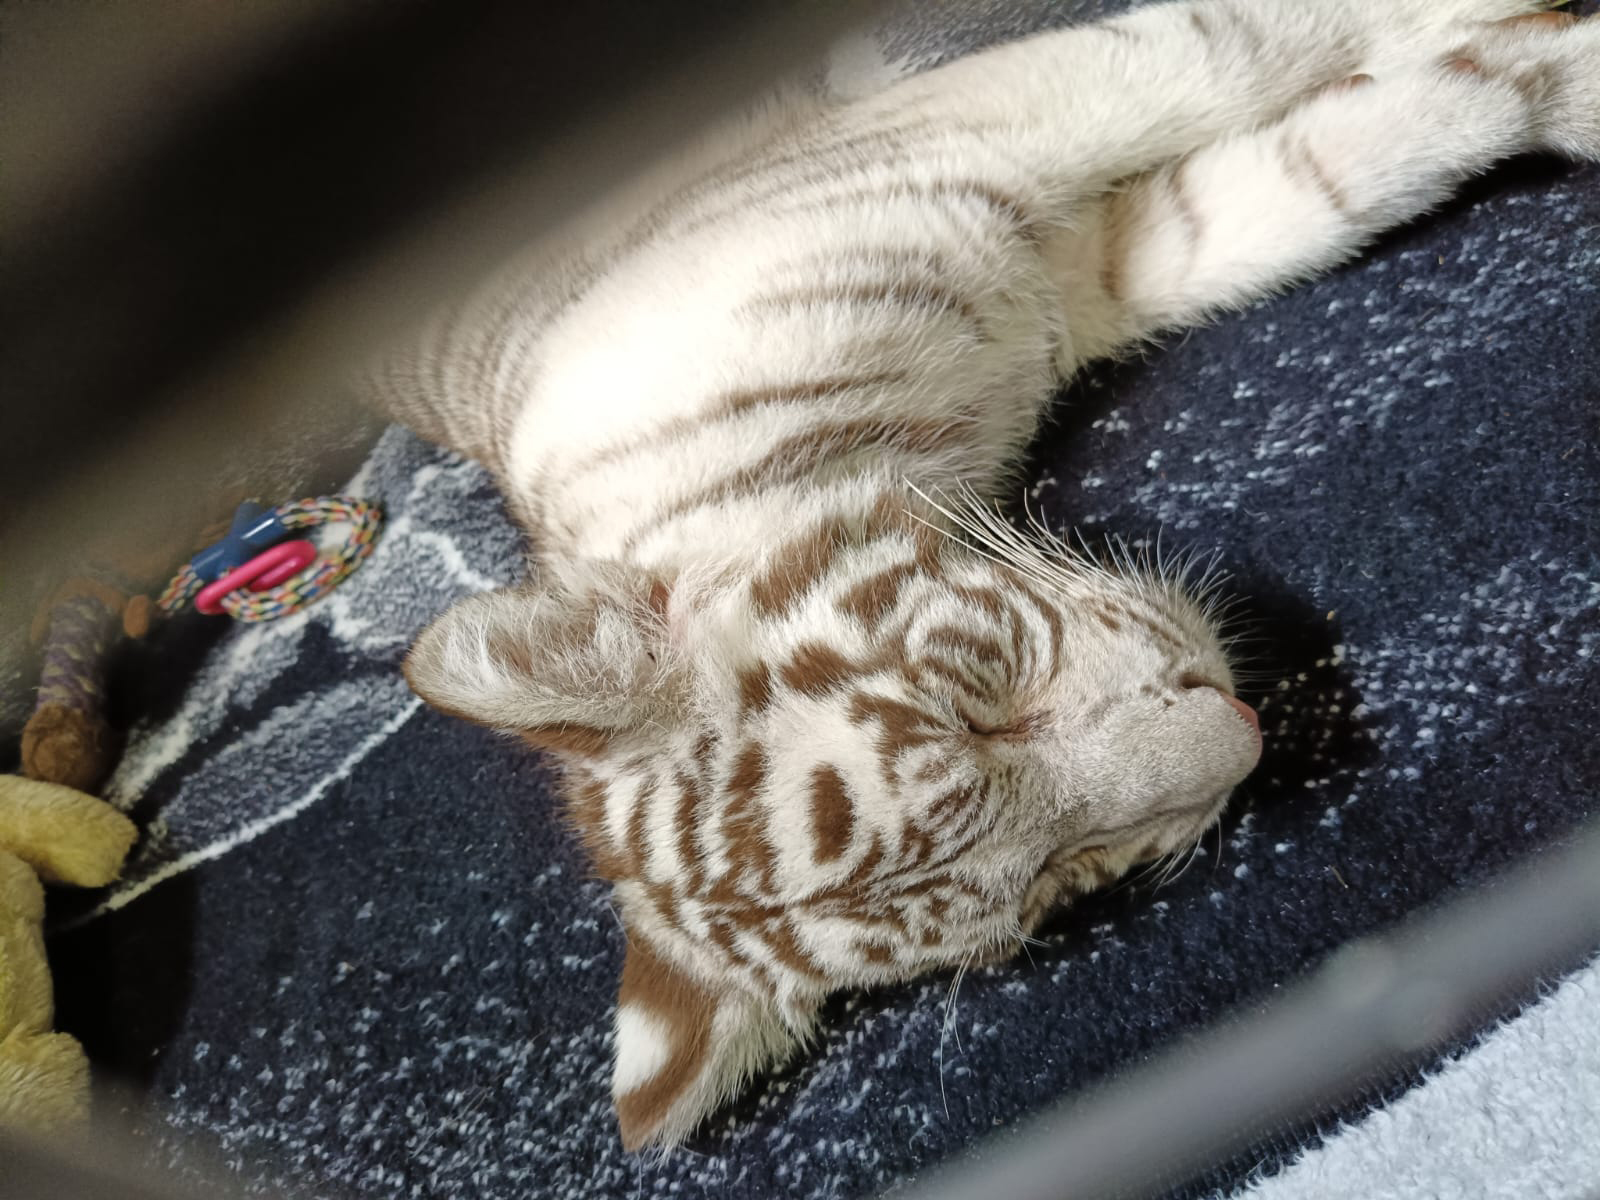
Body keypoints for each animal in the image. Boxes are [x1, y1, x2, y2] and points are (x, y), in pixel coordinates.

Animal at [366, 0, 1600, 1150]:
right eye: (1053, 879)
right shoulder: (1107, 260)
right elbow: (1345, 160)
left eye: (975, 710)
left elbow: (1251, 46)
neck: (915, 435)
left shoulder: (1018, 116)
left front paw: (1552, 63)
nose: (1246, 729)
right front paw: (1539, 79)